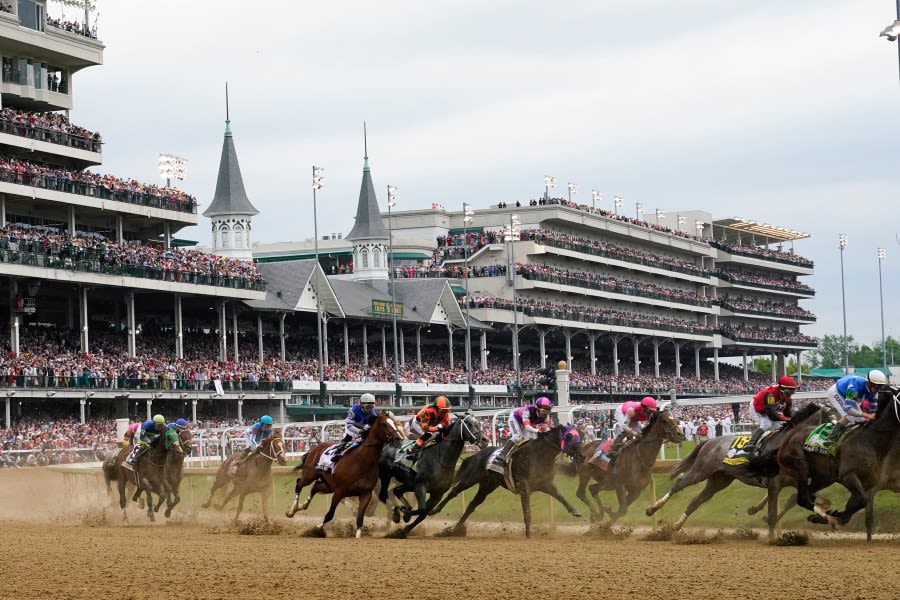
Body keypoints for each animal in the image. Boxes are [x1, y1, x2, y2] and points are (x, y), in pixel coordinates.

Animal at [286, 412, 402, 540]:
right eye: (384, 424)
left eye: (394, 422)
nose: (398, 439)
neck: (360, 462)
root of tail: (315, 448)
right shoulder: (339, 492)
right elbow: (330, 514)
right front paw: (316, 529)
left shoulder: (365, 494)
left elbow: (360, 518)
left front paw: (357, 536)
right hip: (310, 475)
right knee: (299, 484)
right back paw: (292, 511)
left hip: (328, 485)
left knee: (315, 488)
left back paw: (302, 506)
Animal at [380, 412, 492, 540]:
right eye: (469, 423)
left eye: (478, 422)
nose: (485, 440)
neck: (441, 459)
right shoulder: (420, 487)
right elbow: (422, 509)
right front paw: (405, 513)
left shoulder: (437, 493)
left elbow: (424, 514)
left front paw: (404, 528)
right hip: (385, 476)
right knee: (383, 494)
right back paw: (396, 514)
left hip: (409, 483)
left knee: (396, 491)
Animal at [428, 422, 584, 540]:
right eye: (569, 436)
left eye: (580, 435)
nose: (582, 456)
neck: (539, 455)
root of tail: (478, 453)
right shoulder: (524, 487)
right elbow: (527, 512)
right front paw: (528, 534)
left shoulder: (546, 484)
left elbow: (561, 497)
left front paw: (575, 511)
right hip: (471, 478)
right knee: (453, 492)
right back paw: (435, 510)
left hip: (488, 485)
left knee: (472, 504)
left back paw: (456, 530)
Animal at [644, 404, 828, 540]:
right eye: (829, 420)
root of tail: (710, 441)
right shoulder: (774, 482)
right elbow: (773, 511)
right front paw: (772, 537)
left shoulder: (795, 480)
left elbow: (800, 499)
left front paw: (824, 513)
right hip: (701, 471)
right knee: (678, 485)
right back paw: (652, 509)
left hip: (719, 479)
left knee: (696, 501)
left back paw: (675, 526)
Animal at [772, 386, 900, 540]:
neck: (870, 442)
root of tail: (788, 436)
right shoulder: (848, 476)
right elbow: (862, 501)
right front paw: (832, 516)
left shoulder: (867, 484)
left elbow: (856, 505)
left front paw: (832, 516)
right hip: (799, 464)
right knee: (802, 498)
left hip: (824, 478)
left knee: (805, 495)